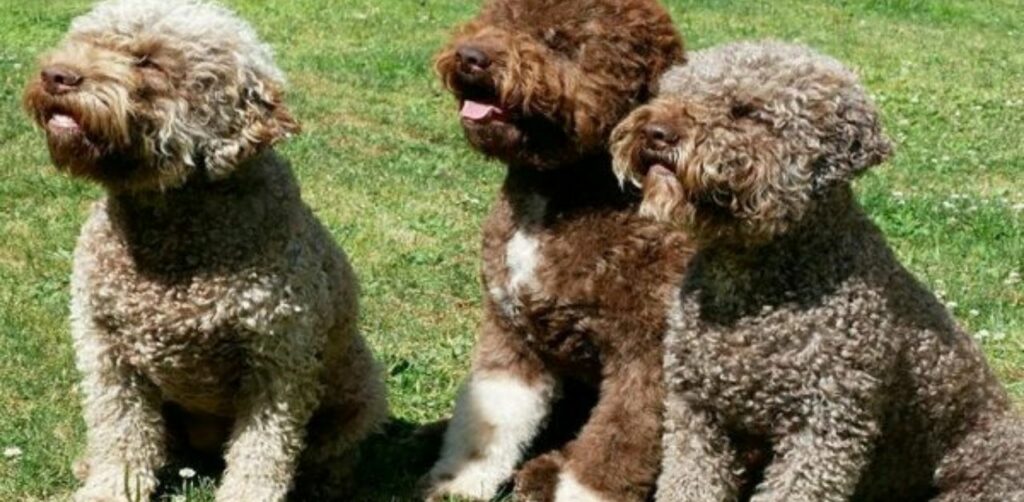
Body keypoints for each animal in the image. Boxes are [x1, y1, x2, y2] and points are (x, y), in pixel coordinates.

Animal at [24, 1, 391, 499]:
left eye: (149, 60)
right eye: (84, 40)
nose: (56, 75)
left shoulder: (278, 362)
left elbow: (263, 450)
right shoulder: (105, 351)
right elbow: (119, 431)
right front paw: (110, 486)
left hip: (363, 389)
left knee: (334, 450)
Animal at [419, 0, 692, 501]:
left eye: (560, 41)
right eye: (495, 17)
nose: (471, 56)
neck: (556, 193)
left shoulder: (646, 360)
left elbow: (614, 450)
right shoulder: (509, 330)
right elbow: (491, 417)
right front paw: (463, 482)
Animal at [610, 40, 1024, 501]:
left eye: (746, 110)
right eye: (674, 91)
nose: (655, 131)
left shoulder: (824, 429)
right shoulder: (695, 414)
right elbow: (688, 482)